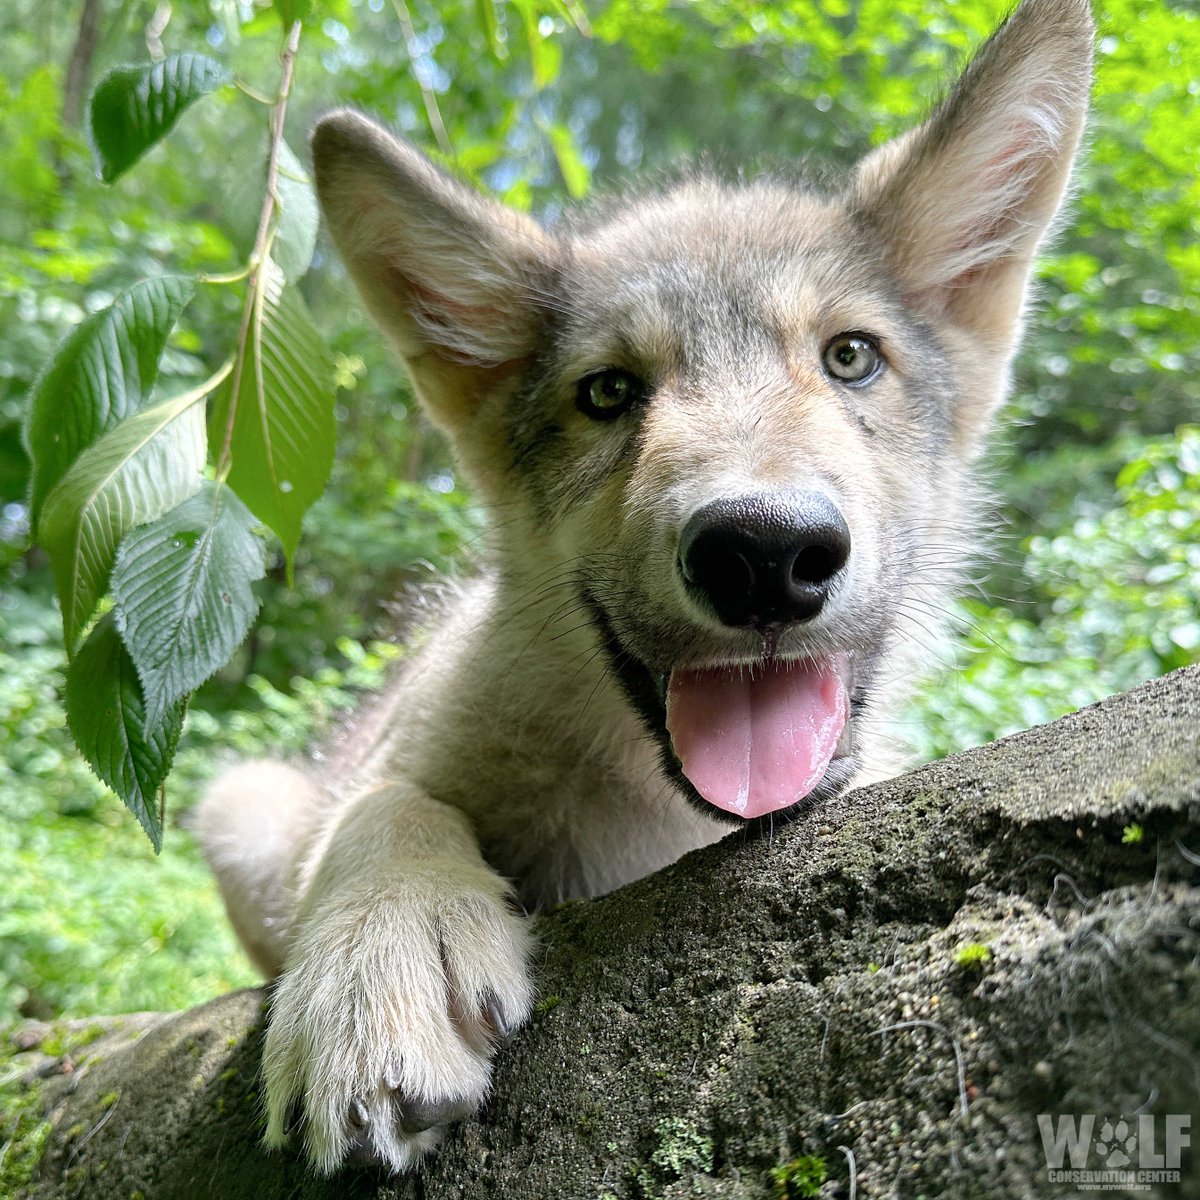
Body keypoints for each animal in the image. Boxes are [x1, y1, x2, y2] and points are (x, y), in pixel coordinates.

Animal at [194, 0, 1093, 1174]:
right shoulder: (368, 772)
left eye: (851, 358)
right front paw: (374, 968)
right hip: (241, 805)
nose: (763, 552)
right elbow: (384, 804)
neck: (653, 818)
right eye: (609, 394)